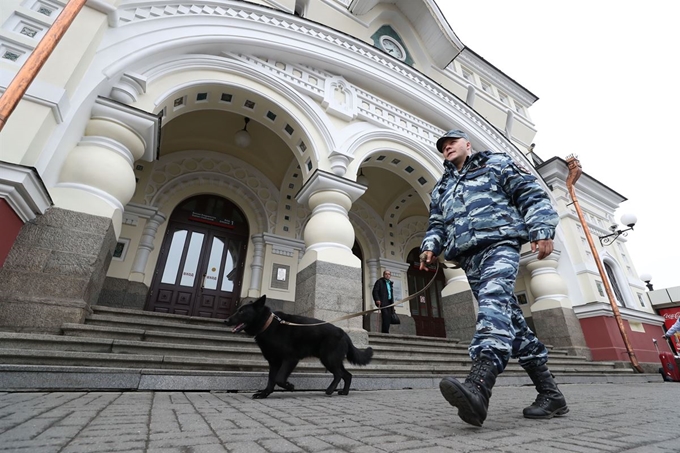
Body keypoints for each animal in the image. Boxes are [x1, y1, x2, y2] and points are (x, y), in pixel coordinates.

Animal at [224, 294, 374, 398]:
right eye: (238, 310)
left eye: (242, 312)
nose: (225, 320)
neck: (268, 324)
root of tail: (344, 333)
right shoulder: (274, 362)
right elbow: (271, 380)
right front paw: (264, 394)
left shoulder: (290, 359)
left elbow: (279, 378)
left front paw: (289, 386)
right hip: (334, 360)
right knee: (347, 375)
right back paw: (344, 392)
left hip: (328, 359)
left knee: (338, 374)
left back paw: (330, 390)